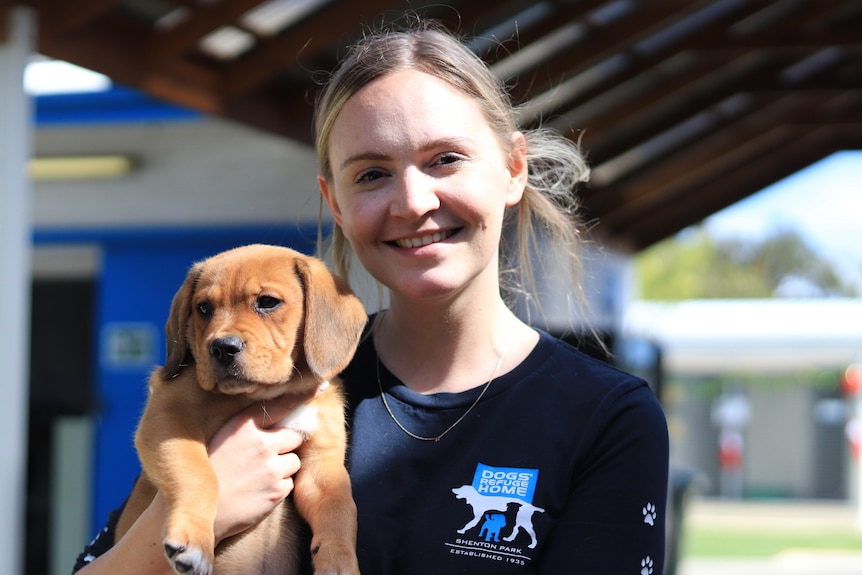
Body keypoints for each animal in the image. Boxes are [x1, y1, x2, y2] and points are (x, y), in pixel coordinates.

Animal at [115, 245, 368, 575]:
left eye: (268, 302)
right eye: (204, 308)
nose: (222, 347)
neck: (265, 394)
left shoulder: (321, 460)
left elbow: (339, 507)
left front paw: (339, 561)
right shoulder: (168, 417)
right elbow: (199, 475)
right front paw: (193, 540)